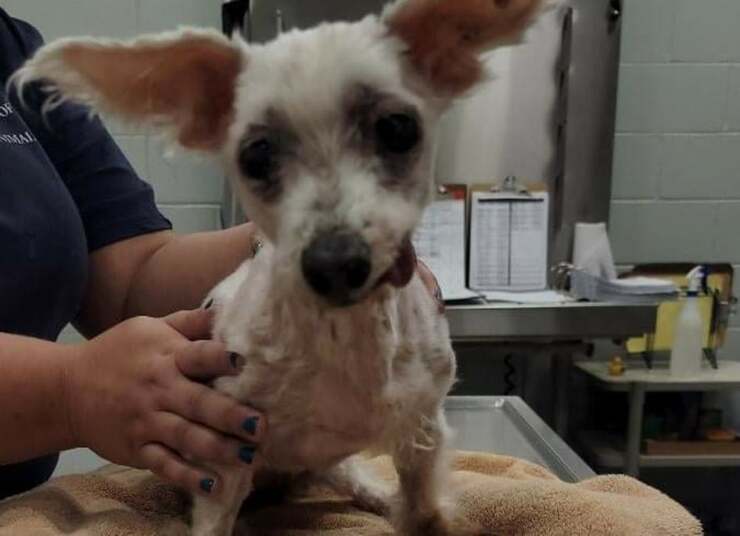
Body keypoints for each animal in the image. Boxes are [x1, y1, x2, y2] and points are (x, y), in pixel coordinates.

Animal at [14, 0, 542, 533]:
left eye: (397, 128)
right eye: (256, 156)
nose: (335, 263)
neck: (344, 337)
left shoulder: (423, 432)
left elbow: (426, 512)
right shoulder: (223, 454)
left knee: (348, 473)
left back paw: (375, 495)